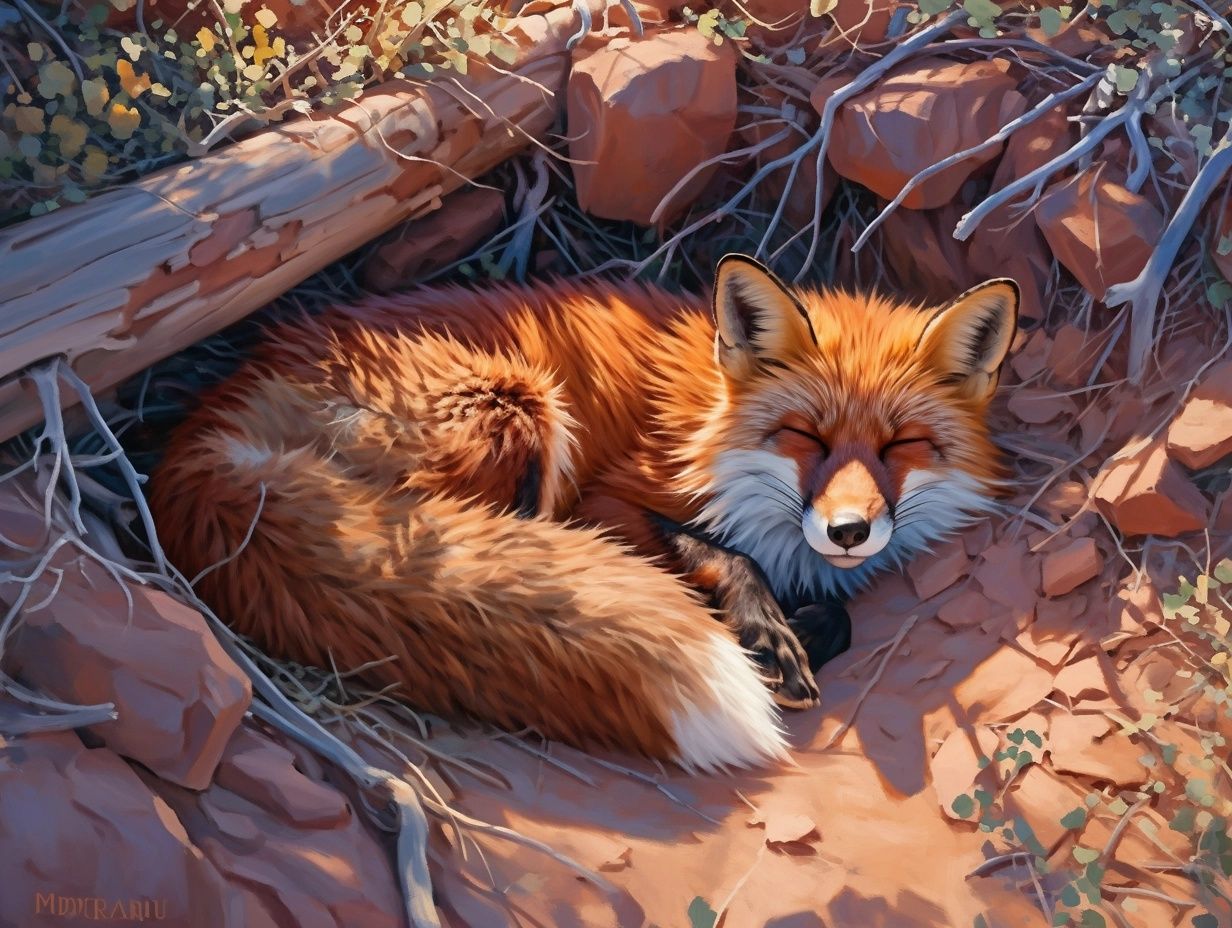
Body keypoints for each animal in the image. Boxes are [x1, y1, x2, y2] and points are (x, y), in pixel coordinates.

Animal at [149, 255, 1018, 772]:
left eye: (902, 445)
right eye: (806, 436)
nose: (848, 531)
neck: (708, 425)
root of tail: (201, 430)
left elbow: (835, 610)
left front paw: (797, 618)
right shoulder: (613, 498)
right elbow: (718, 551)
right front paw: (764, 629)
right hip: (516, 407)